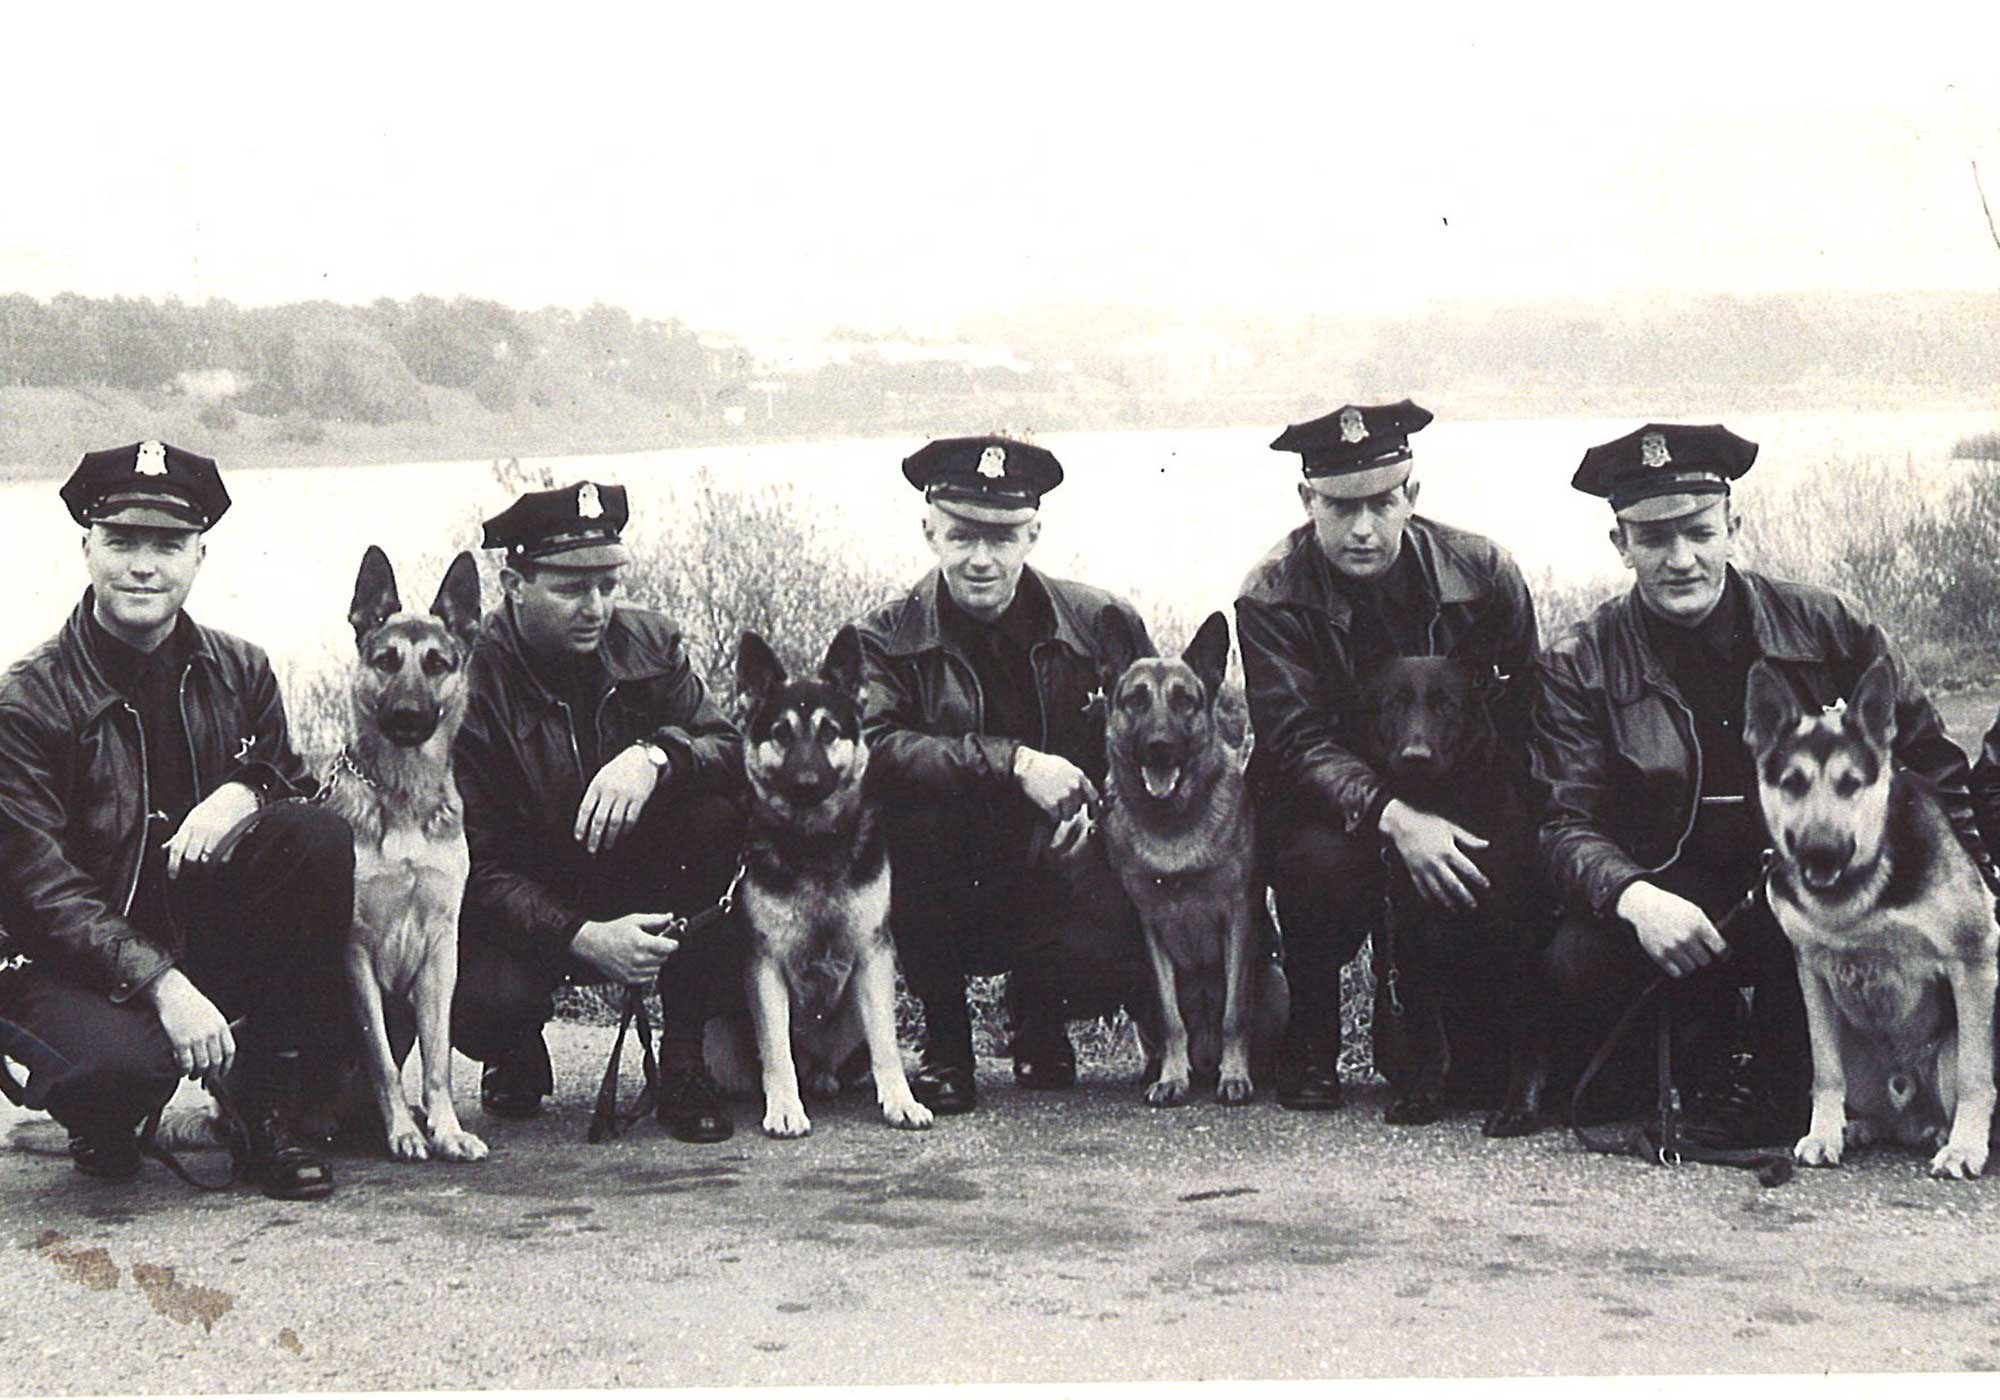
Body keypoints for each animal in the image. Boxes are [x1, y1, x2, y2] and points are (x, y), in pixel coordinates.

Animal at [326, 552, 490, 1168]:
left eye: (438, 664)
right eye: (386, 661)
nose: (405, 714)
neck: (402, 793)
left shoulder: (442, 950)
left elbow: (438, 1058)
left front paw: (446, 1129)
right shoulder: (355, 951)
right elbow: (381, 1061)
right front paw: (402, 1133)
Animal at [708, 628, 932, 1136]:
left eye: (829, 731)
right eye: (781, 734)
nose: (807, 782)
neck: (812, 847)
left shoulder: (873, 957)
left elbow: (887, 1045)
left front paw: (900, 1101)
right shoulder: (765, 965)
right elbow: (776, 1051)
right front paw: (785, 1107)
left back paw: (827, 1078)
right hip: (719, 1035)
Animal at [1104, 608, 1288, 1104]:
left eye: (1185, 701)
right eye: (1135, 700)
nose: (1159, 747)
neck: (1173, 823)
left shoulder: (1238, 918)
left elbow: (1233, 1014)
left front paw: (1235, 1076)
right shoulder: (1152, 930)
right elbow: (1173, 1020)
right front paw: (1172, 1078)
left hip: (1275, 981)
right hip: (1141, 990)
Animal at [1360, 656, 1544, 1136]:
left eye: (1446, 706)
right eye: (1395, 703)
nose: (1415, 757)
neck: (1446, 804)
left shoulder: (1520, 939)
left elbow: (1526, 1031)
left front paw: (1519, 1108)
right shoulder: (1413, 939)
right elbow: (1432, 1037)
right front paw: (1422, 1098)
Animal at [1744, 660, 1992, 1184]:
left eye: (1850, 783)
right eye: (1792, 783)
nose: (1820, 852)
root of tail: (1910, 1107)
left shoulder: (1975, 962)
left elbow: (1976, 1077)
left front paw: (1965, 1148)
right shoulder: (1812, 973)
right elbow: (1825, 1072)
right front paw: (1824, 1134)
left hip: (1948, 1051)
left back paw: (1945, 1134)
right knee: (1880, 1113)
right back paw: (1861, 1127)